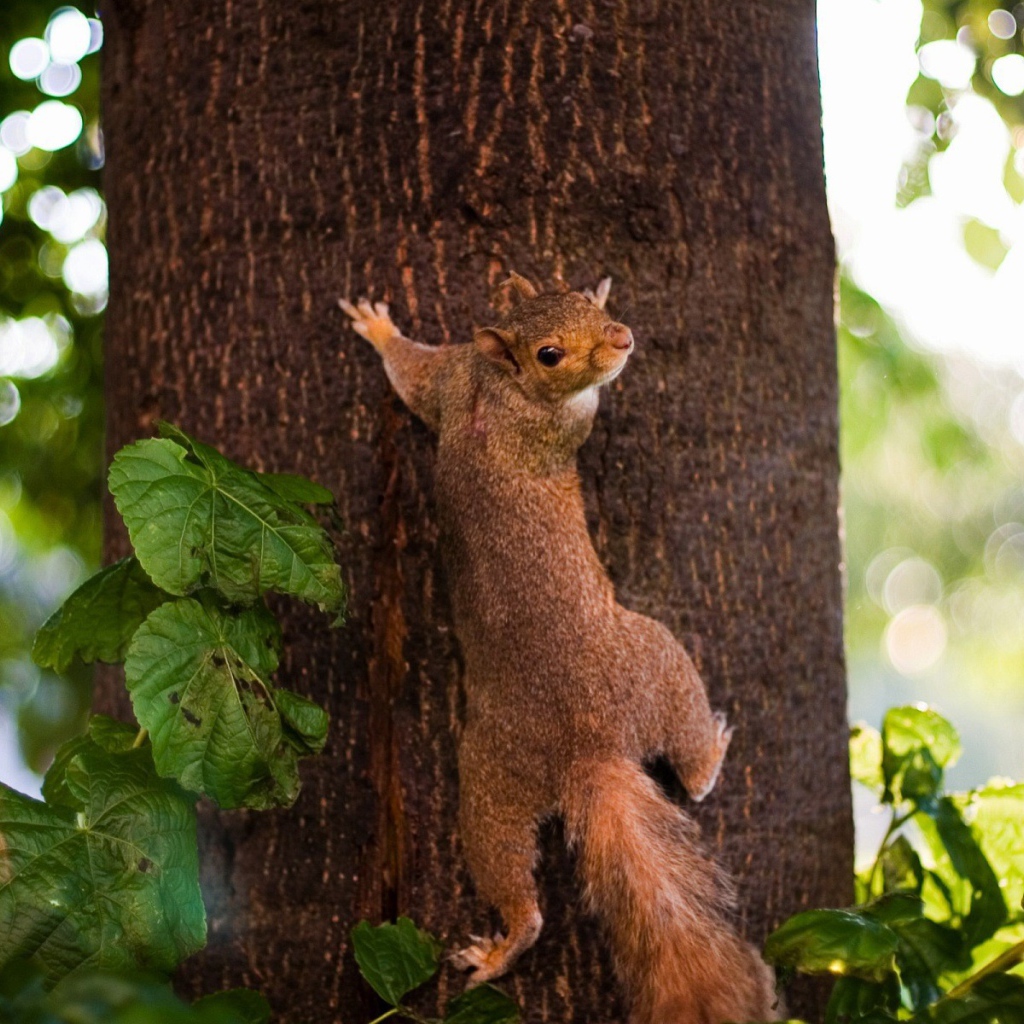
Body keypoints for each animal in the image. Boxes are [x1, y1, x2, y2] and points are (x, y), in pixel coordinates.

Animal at [339, 274, 778, 1024]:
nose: (622, 337)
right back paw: (711, 750)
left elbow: (412, 375)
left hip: (488, 793)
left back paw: (499, 947)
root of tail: (587, 749)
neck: (500, 389)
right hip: (654, 660)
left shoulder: (450, 378)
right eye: (551, 354)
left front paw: (378, 330)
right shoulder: (560, 420)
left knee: (507, 871)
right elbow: (589, 410)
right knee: (686, 776)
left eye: (581, 300)